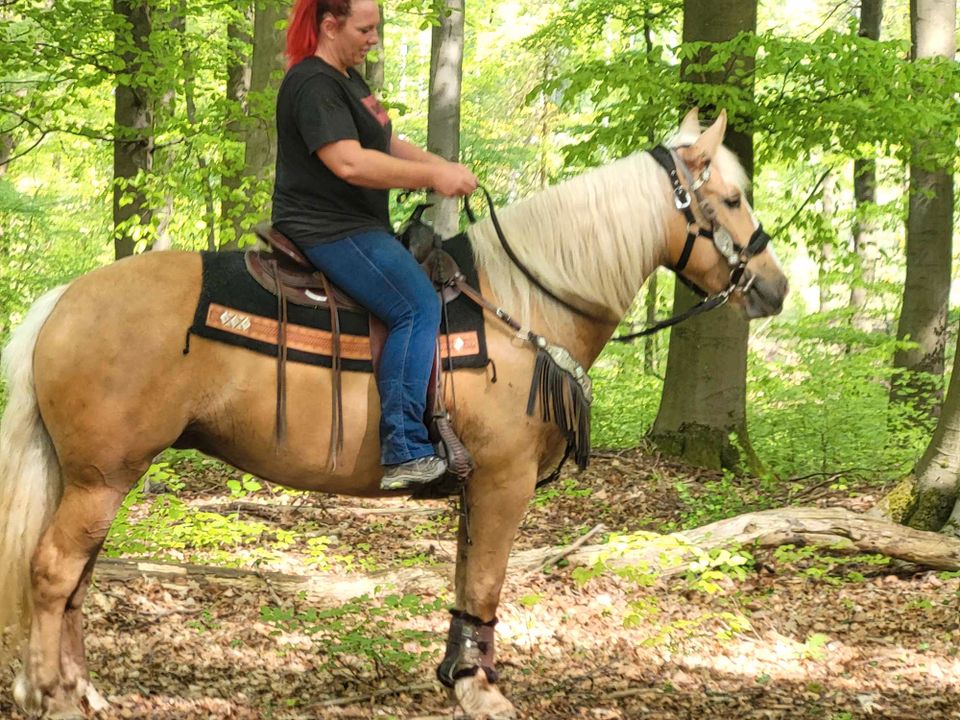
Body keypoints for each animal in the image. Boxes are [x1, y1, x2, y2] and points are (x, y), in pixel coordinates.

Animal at [0, 108, 784, 720]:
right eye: (731, 197)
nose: (774, 288)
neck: (520, 305)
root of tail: (63, 300)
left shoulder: (480, 486)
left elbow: (467, 581)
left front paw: (459, 677)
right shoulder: (504, 481)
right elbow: (487, 582)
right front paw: (480, 689)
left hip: (99, 476)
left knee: (76, 581)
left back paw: (80, 689)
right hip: (102, 479)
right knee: (52, 572)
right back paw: (52, 696)